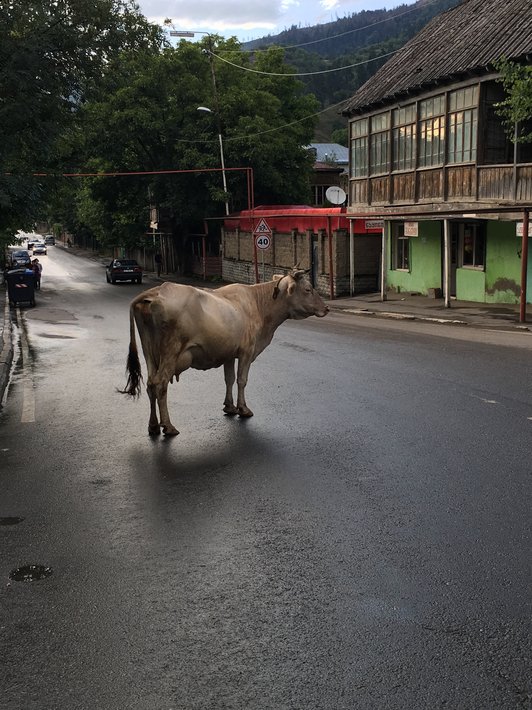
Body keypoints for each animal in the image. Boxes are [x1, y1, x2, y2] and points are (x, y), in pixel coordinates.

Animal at [121, 270, 328, 436]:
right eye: (308, 289)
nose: (326, 308)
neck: (259, 304)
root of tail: (157, 291)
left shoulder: (229, 352)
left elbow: (229, 378)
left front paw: (229, 406)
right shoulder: (247, 351)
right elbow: (242, 380)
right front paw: (243, 408)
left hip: (149, 350)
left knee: (150, 384)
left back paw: (153, 426)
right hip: (171, 351)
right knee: (160, 384)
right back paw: (169, 426)